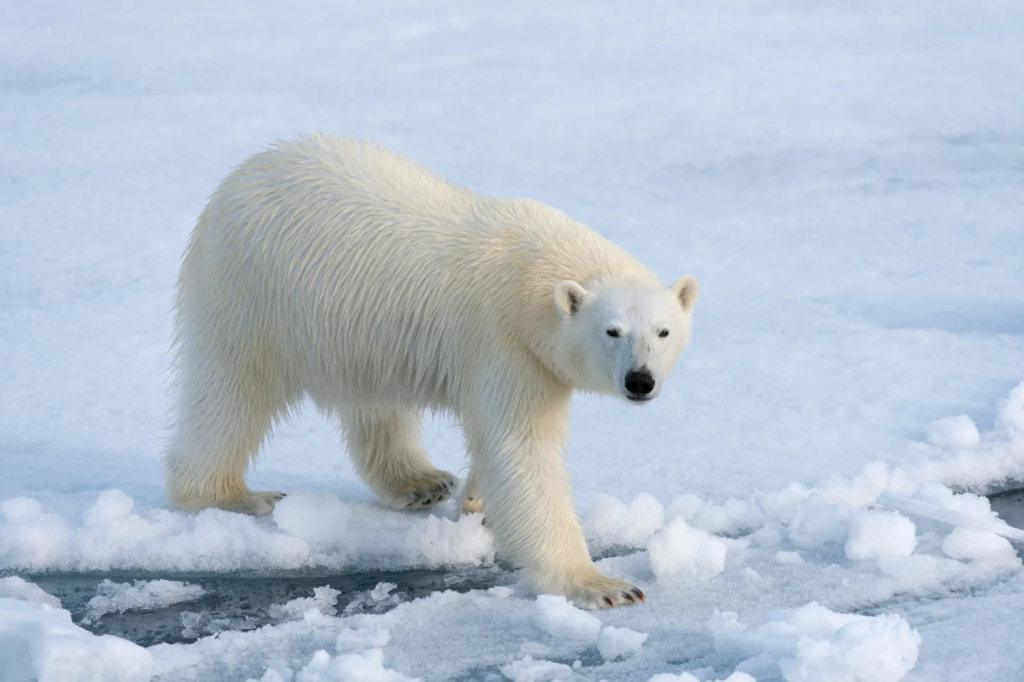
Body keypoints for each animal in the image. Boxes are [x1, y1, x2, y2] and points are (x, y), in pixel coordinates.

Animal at [167, 133, 700, 606]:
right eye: (612, 331)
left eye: (662, 331)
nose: (640, 380)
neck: (532, 269)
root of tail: (242, 174)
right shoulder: (503, 341)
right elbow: (522, 448)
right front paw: (603, 585)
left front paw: (476, 502)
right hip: (248, 293)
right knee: (230, 392)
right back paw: (234, 495)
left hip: (354, 330)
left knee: (374, 403)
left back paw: (420, 482)